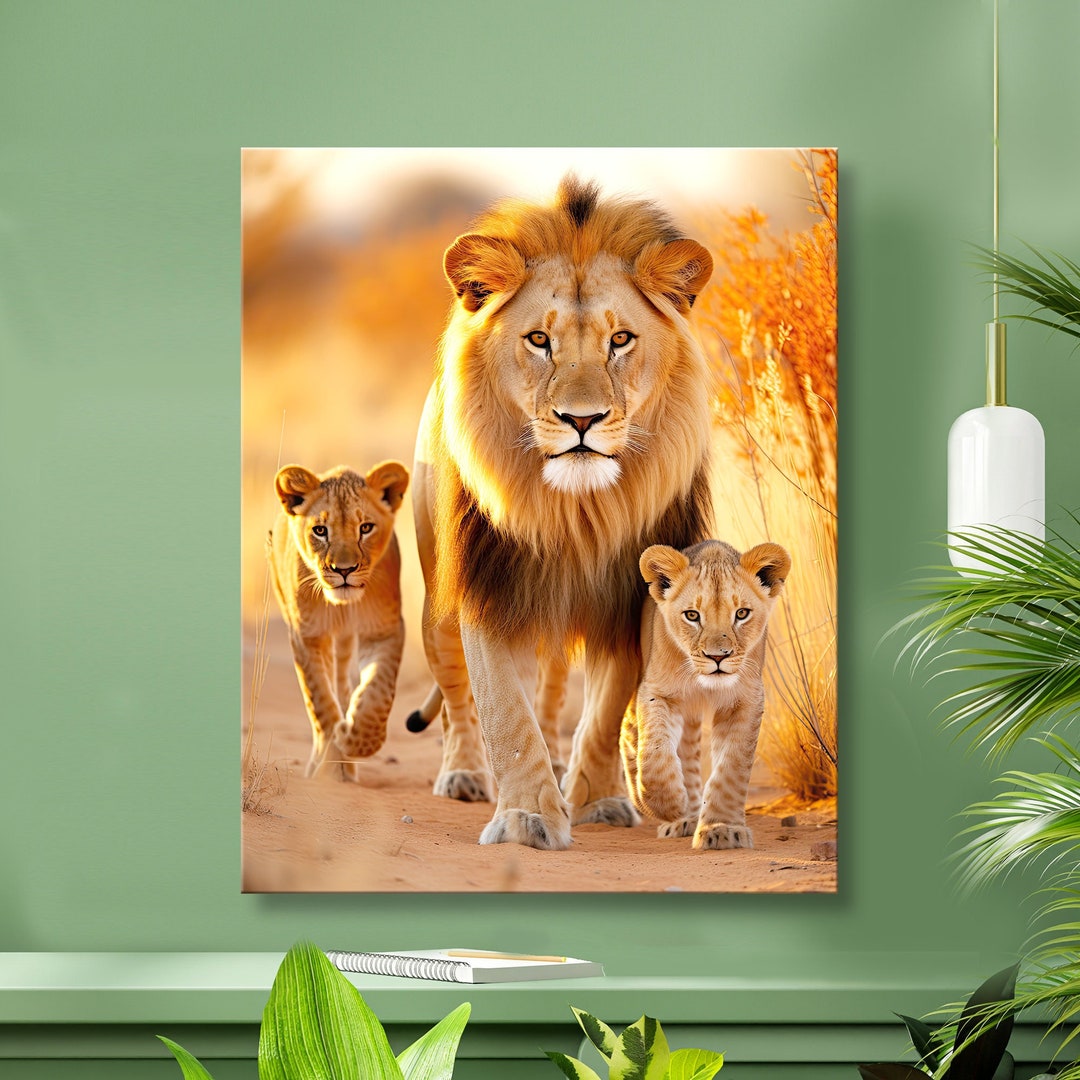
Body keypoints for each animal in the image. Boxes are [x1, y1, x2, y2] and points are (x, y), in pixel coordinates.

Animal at [268, 461, 410, 780]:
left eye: (365, 528)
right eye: (320, 531)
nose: (343, 570)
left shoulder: (384, 630)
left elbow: (378, 692)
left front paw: (354, 738)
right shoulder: (306, 635)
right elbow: (320, 701)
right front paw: (330, 770)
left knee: (344, 684)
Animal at [412, 176, 715, 849]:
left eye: (620, 340)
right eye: (539, 340)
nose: (583, 420)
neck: (577, 515)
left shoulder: (633, 600)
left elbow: (602, 713)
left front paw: (598, 799)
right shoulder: (490, 587)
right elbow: (503, 711)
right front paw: (527, 817)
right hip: (436, 606)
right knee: (457, 696)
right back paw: (463, 774)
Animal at [620, 539, 791, 850]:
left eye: (741, 614)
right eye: (692, 616)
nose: (718, 657)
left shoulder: (746, 700)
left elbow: (732, 767)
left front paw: (722, 829)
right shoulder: (658, 692)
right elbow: (654, 751)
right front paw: (667, 804)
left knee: (688, 755)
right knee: (631, 732)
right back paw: (668, 810)